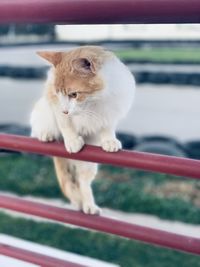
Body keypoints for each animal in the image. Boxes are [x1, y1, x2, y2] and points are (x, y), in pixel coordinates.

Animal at [30, 45, 136, 215]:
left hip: (88, 165)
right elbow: (65, 122)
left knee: (82, 181)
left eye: (74, 94)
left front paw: (109, 140)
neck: (95, 100)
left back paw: (89, 206)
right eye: (58, 93)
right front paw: (72, 140)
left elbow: (107, 125)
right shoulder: (54, 100)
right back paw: (46, 134)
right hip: (41, 110)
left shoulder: (112, 107)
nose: (66, 110)